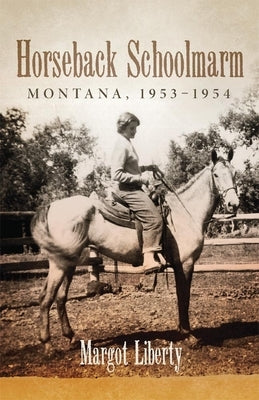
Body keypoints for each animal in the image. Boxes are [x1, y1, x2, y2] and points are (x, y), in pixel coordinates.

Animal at [32, 150, 240, 354]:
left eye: (235, 173)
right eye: (216, 175)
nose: (233, 204)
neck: (185, 213)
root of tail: (51, 206)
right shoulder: (185, 264)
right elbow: (184, 298)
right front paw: (188, 335)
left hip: (68, 262)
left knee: (59, 298)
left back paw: (71, 338)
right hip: (59, 263)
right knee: (46, 298)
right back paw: (48, 345)